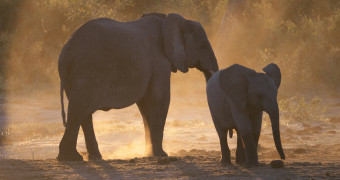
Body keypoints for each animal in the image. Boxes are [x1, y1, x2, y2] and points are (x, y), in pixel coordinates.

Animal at [57, 13, 219, 161]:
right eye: (203, 45)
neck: (169, 20)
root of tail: (65, 51)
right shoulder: (160, 61)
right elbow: (160, 98)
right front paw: (161, 155)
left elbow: (145, 104)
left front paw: (149, 154)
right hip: (87, 72)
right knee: (78, 110)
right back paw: (71, 158)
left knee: (82, 113)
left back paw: (93, 157)